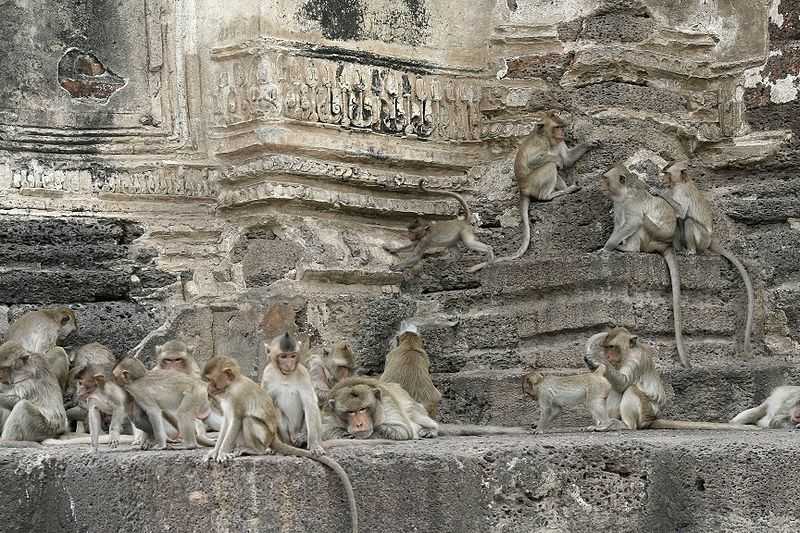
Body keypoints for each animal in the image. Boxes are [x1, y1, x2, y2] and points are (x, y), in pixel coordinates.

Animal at [202, 355, 359, 533]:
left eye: (210, 380)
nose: (208, 388)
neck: (231, 385)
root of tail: (273, 438)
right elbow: (226, 424)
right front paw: (213, 452)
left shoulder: (237, 397)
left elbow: (235, 421)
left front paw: (222, 453)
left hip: (263, 435)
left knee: (248, 420)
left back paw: (254, 450)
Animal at [473, 112, 598, 270]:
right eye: (557, 127)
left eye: (561, 127)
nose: (562, 134)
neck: (548, 138)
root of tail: (522, 189)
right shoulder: (541, 144)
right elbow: (536, 161)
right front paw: (558, 160)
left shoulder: (559, 142)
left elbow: (568, 159)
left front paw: (589, 144)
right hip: (533, 183)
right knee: (550, 165)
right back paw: (550, 194)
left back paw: (566, 189)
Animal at [584, 328, 759, 430]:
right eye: (606, 348)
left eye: (612, 347)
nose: (607, 356)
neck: (627, 353)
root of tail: (653, 419)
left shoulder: (636, 359)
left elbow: (623, 383)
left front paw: (597, 360)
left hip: (646, 413)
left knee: (630, 389)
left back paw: (625, 425)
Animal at [598, 164, 690, 368]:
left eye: (606, 180)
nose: (601, 186)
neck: (624, 193)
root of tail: (667, 244)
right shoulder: (618, 205)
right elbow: (619, 224)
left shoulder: (630, 203)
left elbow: (632, 222)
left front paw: (606, 248)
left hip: (652, 236)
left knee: (641, 222)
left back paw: (628, 249)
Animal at [653, 160, 755, 356]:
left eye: (668, 174)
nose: (663, 180)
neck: (681, 182)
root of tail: (711, 240)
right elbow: (677, 216)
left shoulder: (680, 192)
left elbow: (682, 211)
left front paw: (658, 192)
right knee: (681, 222)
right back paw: (680, 249)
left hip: (702, 238)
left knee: (688, 221)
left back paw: (691, 251)